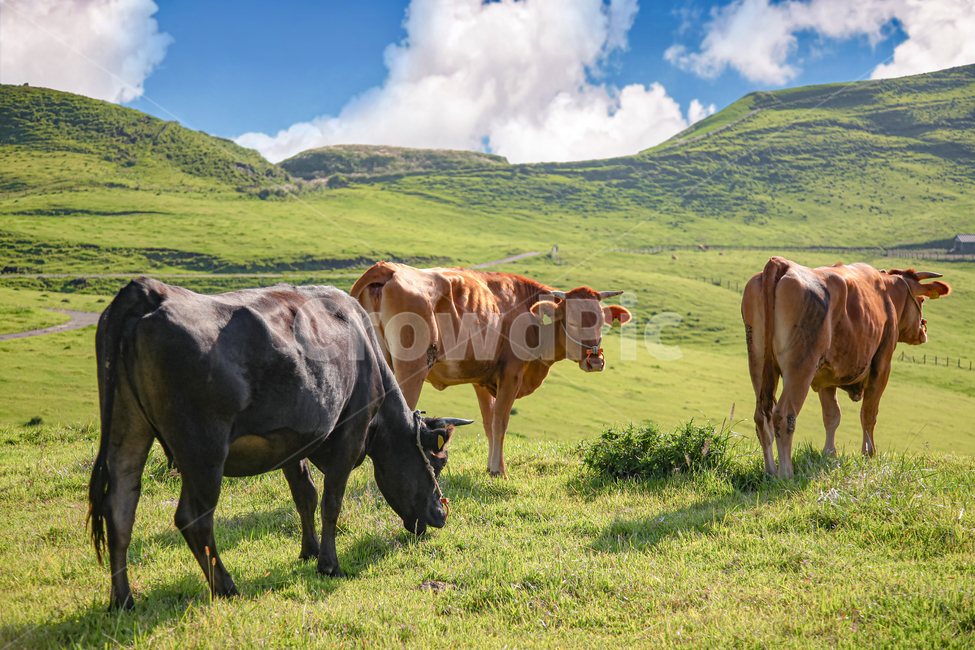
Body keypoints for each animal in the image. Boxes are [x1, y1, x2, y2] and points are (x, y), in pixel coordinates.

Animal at [87, 278, 473, 609]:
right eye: (438, 461)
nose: (441, 514)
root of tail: (149, 291)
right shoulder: (349, 437)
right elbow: (331, 502)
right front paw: (329, 564)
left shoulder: (292, 440)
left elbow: (305, 496)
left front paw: (309, 550)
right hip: (203, 452)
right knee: (193, 518)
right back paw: (226, 587)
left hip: (127, 429)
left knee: (120, 508)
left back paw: (122, 601)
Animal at [350, 262, 632, 477]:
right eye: (572, 322)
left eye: (601, 322)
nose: (595, 361)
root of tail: (388, 269)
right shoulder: (511, 374)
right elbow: (500, 422)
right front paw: (500, 471)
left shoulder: (481, 379)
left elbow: (488, 423)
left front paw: (490, 467)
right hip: (412, 368)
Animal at [742, 257, 950, 479]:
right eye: (922, 300)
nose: (923, 330)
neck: (887, 293)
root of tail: (782, 263)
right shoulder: (882, 364)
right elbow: (869, 414)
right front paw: (869, 455)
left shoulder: (826, 375)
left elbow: (832, 416)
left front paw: (829, 455)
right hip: (800, 367)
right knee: (784, 416)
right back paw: (786, 474)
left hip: (758, 362)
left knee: (762, 416)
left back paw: (770, 471)